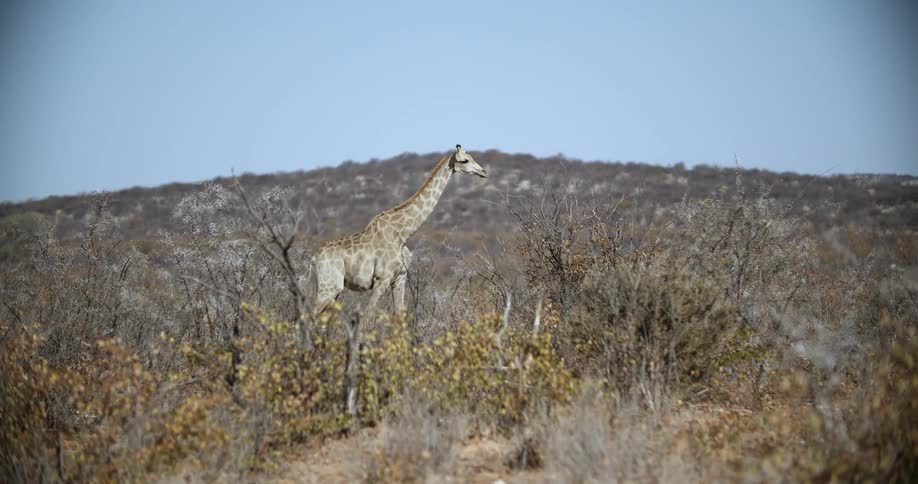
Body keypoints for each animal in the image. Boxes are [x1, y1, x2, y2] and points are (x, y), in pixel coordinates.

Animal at [312, 144, 488, 316]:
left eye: (472, 157)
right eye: (465, 160)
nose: (483, 172)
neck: (402, 233)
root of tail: (316, 257)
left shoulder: (400, 278)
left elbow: (399, 313)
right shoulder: (382, 278)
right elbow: (368, 313)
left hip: (332, 289)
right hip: (330, 285)